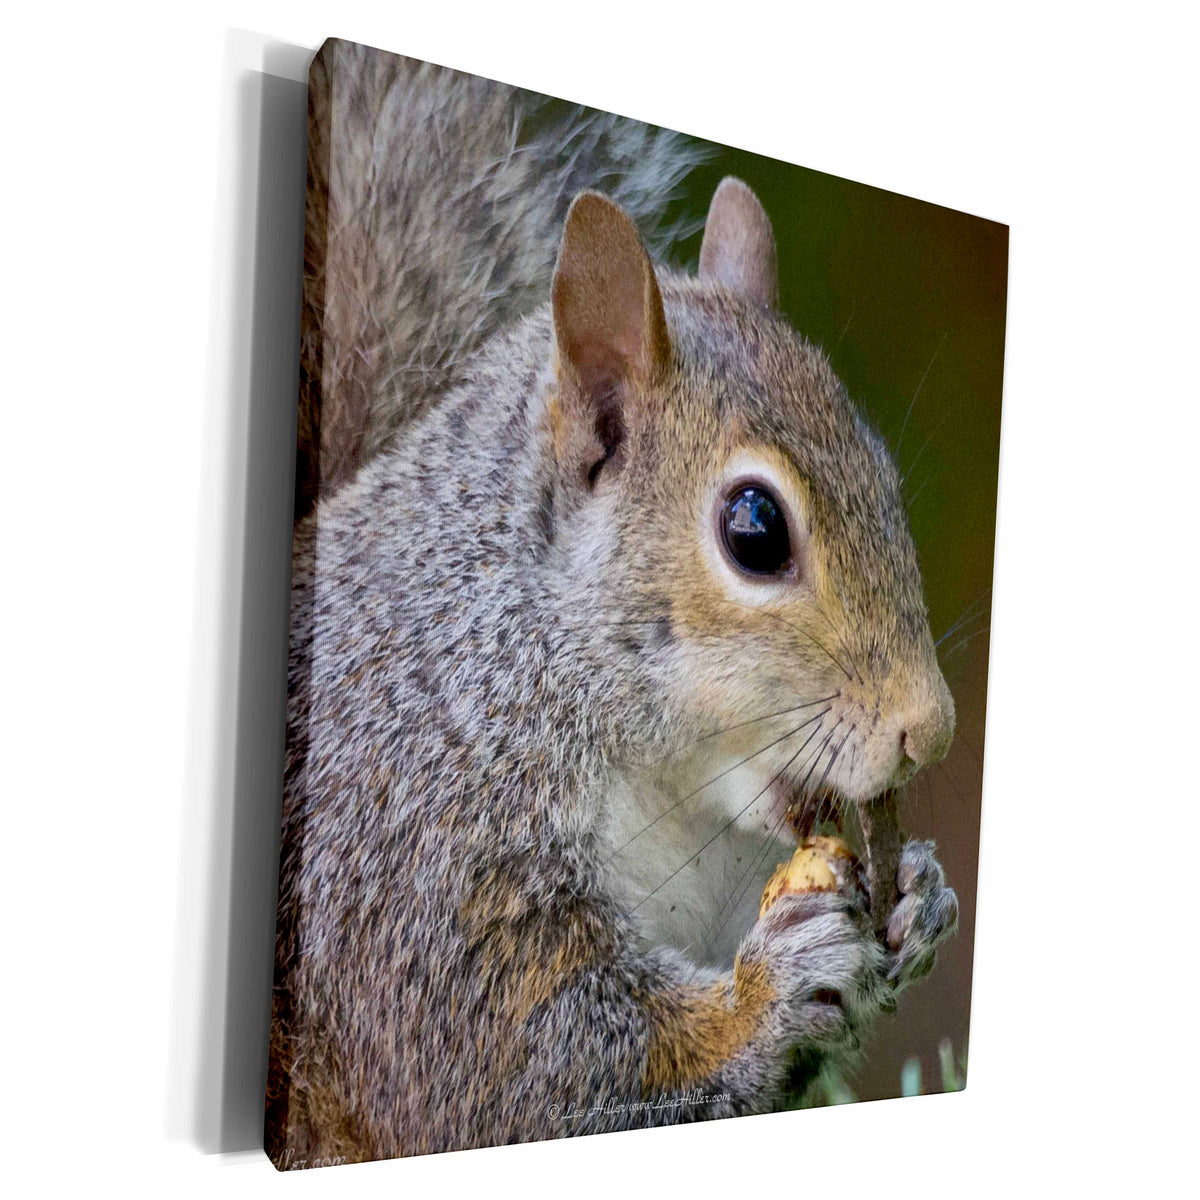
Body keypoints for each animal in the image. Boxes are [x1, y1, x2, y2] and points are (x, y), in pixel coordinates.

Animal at [268, 40, 959, 1167]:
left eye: (886, 478)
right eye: (754, 529)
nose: (929, 729)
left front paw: (919, 897)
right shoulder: (411, 852)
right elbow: (529, 1059)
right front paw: (770, 993)